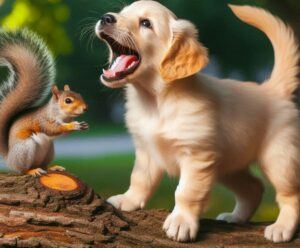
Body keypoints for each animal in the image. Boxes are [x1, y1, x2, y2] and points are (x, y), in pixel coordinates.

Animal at [0, 29, 88, 176]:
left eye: (80, 95)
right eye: (68, 100)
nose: (85, 108)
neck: (61, 114)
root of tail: (10, 159)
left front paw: (82, 125)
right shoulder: (44, 120)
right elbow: (53, 129)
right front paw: (73, 125)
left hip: (49, 150)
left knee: (44, 165)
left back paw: (53, 167)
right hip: (26, 148)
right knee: (23, 169)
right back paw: (33, 170)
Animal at [95, 0, 300, 243]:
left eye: (146, 23)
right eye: (122, 12)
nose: (106, 18)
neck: (155, 101)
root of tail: (273, 89)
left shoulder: (196, 156)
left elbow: (186, 192)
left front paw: (181, 222)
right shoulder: (147, 150)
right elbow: (140, 178)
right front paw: (129, 200)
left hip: (278, 159)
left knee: (291, 194)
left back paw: (282, 227)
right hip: (227, 166)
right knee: (254, 187)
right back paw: (236, 217)